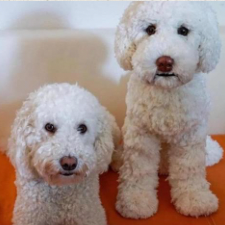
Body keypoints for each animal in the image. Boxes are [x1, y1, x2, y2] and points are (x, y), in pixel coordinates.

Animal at [7, 83, 120, 225]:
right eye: (49, 126)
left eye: (82, 128)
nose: (69, 163)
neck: (60, 189)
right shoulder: (28, 215)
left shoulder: (90, 215)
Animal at [114, 1, 223, 220]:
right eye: (150, 29)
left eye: (184, 30)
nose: (164, 62)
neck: (167, 91)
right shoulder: (140, 135)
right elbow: (138, 169)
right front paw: (135, 201)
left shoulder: (191, 135)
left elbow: (190, 168)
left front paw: (195, 199)